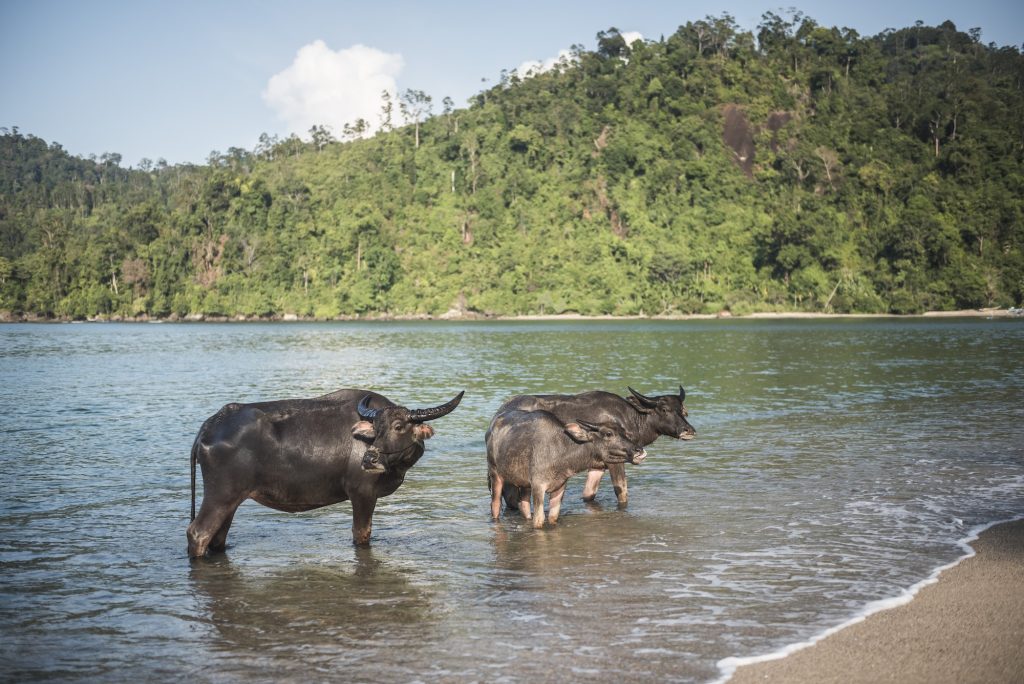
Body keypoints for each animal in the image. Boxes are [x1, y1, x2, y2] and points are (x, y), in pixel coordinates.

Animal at [188, 387, 464, 557]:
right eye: (376, 427)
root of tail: (210, 426)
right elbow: (362, 533)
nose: (369, 458)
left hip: (232, 501)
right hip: (221, 495)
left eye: (398, 426)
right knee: (198, 533)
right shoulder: (362, 493)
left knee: (218, 539)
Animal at [483, 409, 643, 528]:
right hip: (495, 474)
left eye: (624, 432)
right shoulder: (538, 486)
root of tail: (491, 429)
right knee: (495, 505)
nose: (638, 450)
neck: (560, 452)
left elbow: (553, 518)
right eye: (609, 433)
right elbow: (539, 520)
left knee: (524, 507)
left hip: (524, 485)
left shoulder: (559, 486)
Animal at [489, 387, 696, 505]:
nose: (689, 430)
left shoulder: (597, 467)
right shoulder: (615, 463)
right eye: (664, 409)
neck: (631, 418)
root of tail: (498, 413)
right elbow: (622, 492)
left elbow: (589, 495)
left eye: (682, 410)